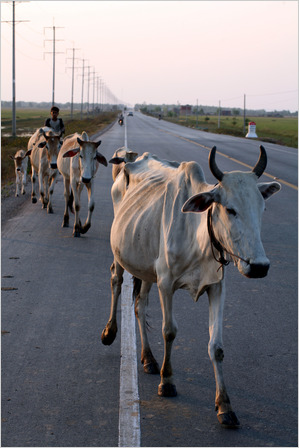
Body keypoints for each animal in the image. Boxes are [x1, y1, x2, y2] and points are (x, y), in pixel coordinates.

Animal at [102, 146, 282, 428]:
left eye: (261, 208)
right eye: (230, 209)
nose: (259, 267)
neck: (197, 236)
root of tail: (131, 160)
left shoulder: (217, 288)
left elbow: (216, 346)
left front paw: (225, 406)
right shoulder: (166, 283)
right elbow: (169, 331)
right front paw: (167, 382)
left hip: (146, 267)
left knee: (140, 305)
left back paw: (148, 358)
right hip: (120, 254)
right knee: (116, 281)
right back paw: (109, 332)